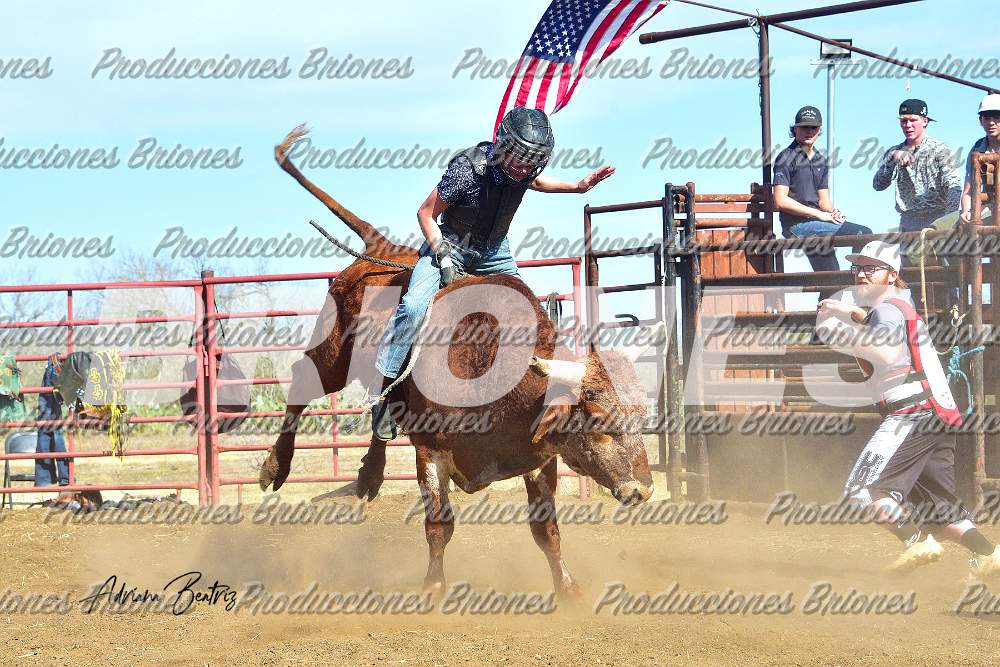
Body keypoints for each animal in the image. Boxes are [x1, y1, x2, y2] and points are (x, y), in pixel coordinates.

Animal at [259, 126, 654, 596]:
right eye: (598, 422)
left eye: (641, 418)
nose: (644, 490)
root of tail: (382, 247)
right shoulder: (431, 450)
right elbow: (438, 526)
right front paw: (433, 588)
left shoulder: (541, 456)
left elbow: (546, 529)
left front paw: (568, 589)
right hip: (334, 353)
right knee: (303, 382)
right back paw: (274, 467)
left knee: (381, 405)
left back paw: (370, 474)